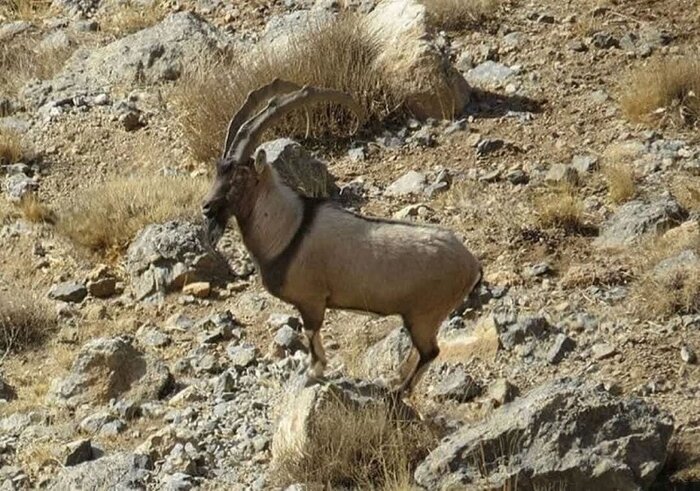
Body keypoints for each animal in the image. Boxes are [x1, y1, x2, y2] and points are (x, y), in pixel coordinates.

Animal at [204, 80, 482, 396]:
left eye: (239, 176)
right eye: (217, 172)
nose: (207, 207)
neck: (288, 229)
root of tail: (472, 264)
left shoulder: (311, 301)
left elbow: (312, 335)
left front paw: (313, 372)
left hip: (425, 315)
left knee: (430, 351)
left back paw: (398, 390)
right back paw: (394, 380)